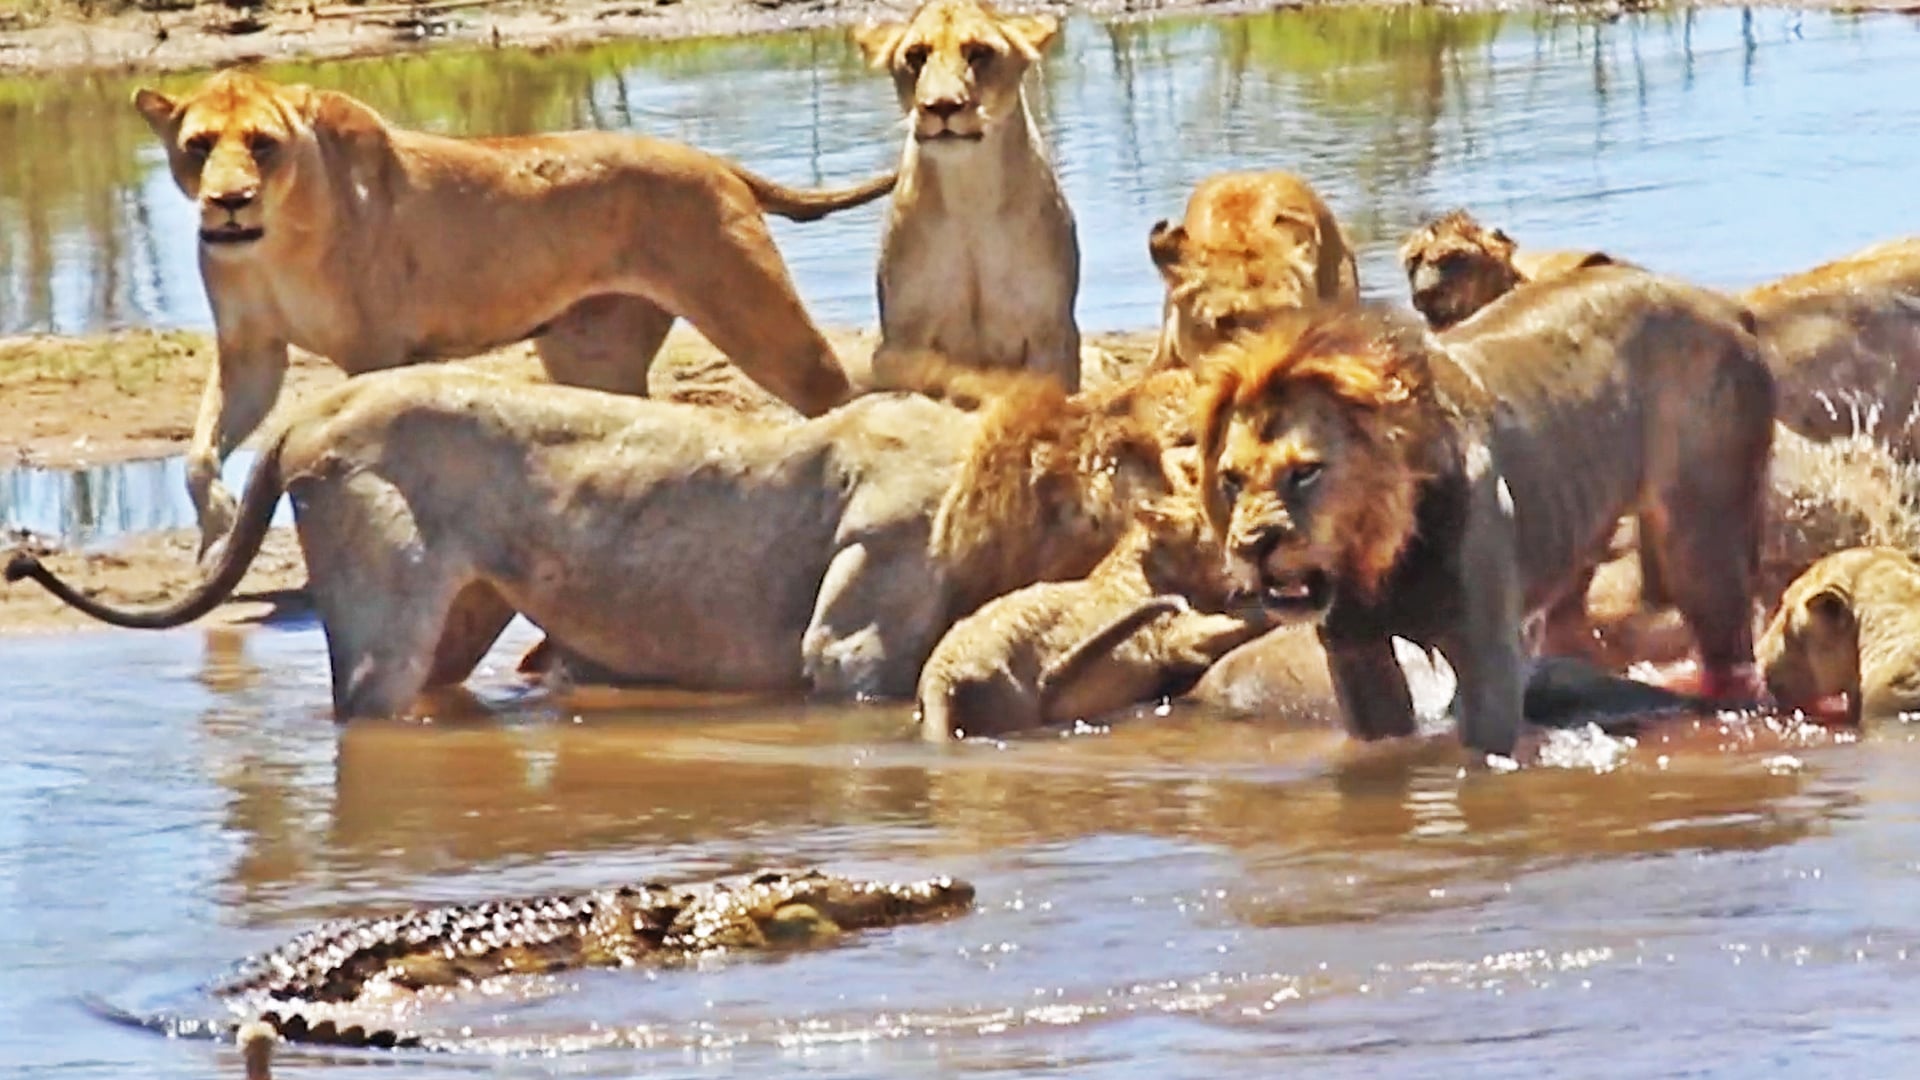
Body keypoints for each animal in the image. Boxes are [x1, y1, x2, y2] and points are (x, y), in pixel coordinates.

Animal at [133, 69, 897, 555]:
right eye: (198, 147)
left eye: (263, 145)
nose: (230, 201)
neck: (272, 242)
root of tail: (716, 161)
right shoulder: (251, 352)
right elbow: (198, 451)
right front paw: (217, 525)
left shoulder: (375, 351)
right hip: (592, 352)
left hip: (752, 315)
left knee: (838, 390)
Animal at [855, 0, 1081, 390]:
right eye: (916, 55)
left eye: (979, 53)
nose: (942, 105)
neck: (968, 194)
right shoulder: (901, 340)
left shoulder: (1051, 337)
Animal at [1195, 271, 1775, 755]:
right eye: (1231, 480)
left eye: (1306, 472)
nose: (1253, 546)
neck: (1380, 558)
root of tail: (1726, 307)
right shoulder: (1355, 651)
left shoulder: (1486, 653)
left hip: (1702, 541)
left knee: (1732, 666)